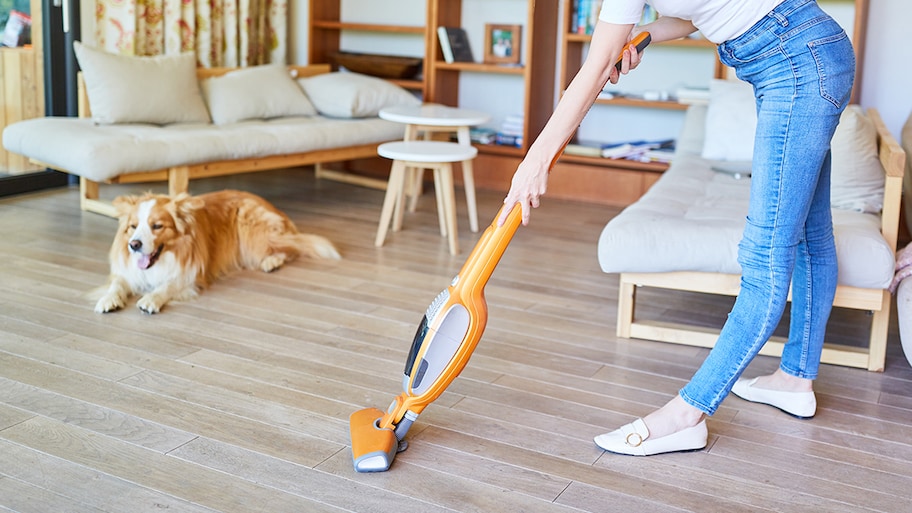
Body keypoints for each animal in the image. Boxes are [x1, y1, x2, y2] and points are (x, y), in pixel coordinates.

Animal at [94, 190, 340, 314]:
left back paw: (272, 262)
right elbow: (117, 285)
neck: (163, 259)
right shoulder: (127, 273)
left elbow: (168, 285)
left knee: (293, 247)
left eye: (157, 226)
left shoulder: (190, 276)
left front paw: (151, 299)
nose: (134, 245)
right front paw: (108, 299)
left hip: (252, 232)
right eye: (133, 226)